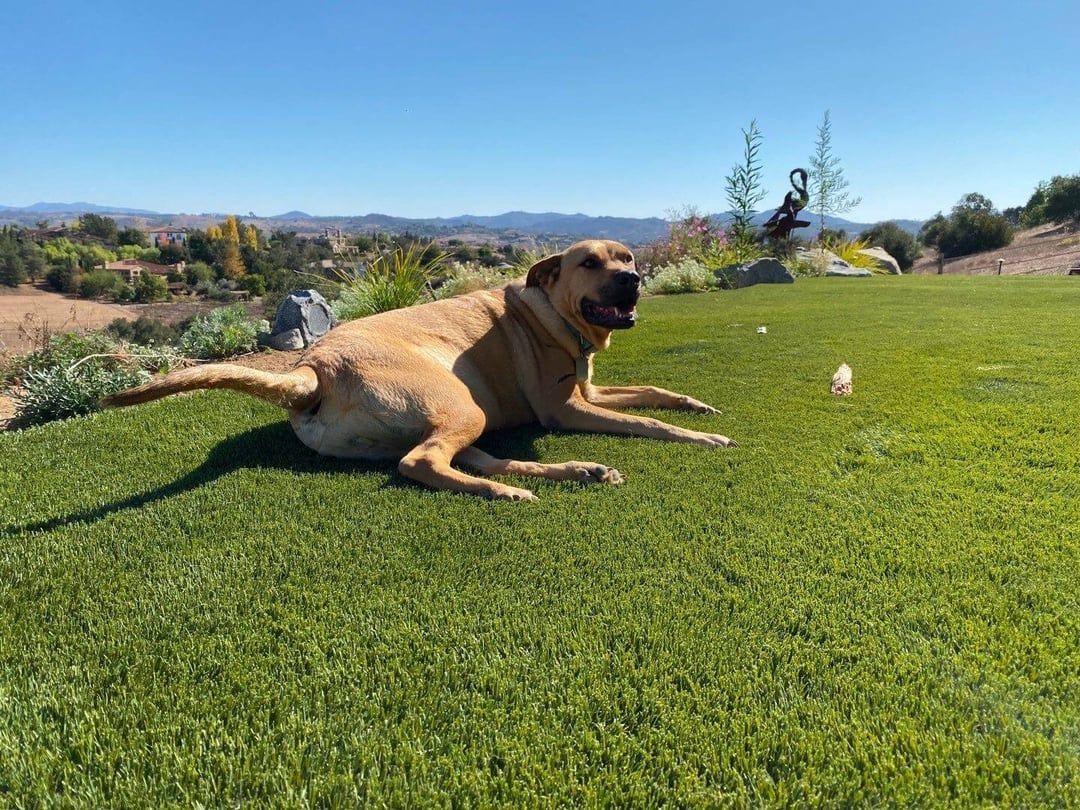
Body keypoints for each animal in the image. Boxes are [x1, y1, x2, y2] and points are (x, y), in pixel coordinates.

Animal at [101, 239, 738, 501]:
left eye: (626, 257)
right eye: (589, 263)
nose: (633, 279)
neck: (552, 311)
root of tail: (312, 368)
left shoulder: (590, 390)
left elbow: (655, 391)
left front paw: (697, 406)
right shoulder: (567, 409)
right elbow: (649, 423)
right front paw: (700, 436)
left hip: (450, 415)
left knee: (466, 457)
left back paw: (577, 472)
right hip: (457, 403)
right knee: (422, 464)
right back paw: (505, 492)